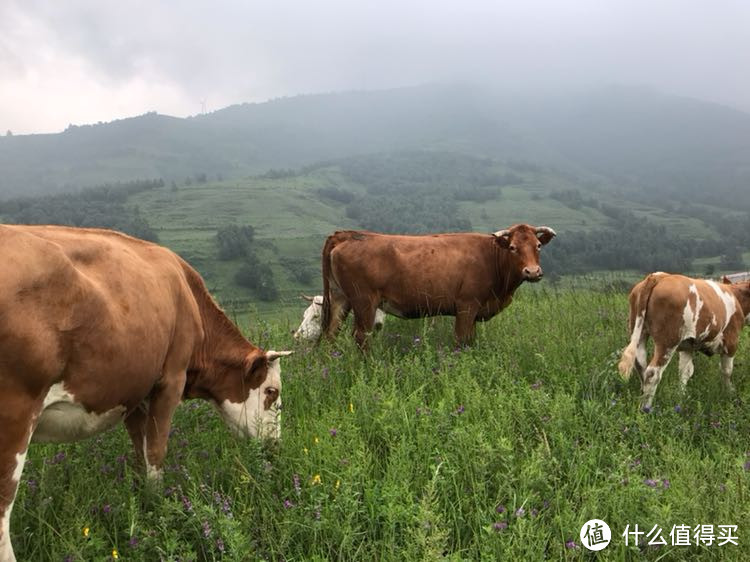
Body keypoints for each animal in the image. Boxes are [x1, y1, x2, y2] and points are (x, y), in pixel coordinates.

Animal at [620, 272, 750, 406]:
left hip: (639, 333)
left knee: (640, 365)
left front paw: (681, 396)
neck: (736, 297)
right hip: (667, 341)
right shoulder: (731, 342)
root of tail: (659, 275)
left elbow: (685, 371)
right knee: (652, 372)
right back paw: (646, 407)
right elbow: (727, 370)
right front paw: (729, 393)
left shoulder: (687, 346)